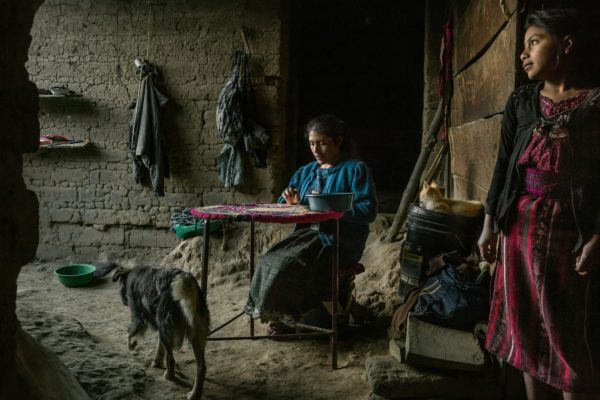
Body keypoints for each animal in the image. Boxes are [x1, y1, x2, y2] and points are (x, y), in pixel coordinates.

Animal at [112, 264, 211, 398]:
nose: (124, 301)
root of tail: (184, 279)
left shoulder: (138, 318)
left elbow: (128, 333)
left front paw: (131, 346)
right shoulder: (160, 326)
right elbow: (159, 346)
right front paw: (156, 361)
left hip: (166, 323)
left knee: (171, 359)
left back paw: (169, 376)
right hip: (196, 332)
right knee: (201, 367)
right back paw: (195, 394)